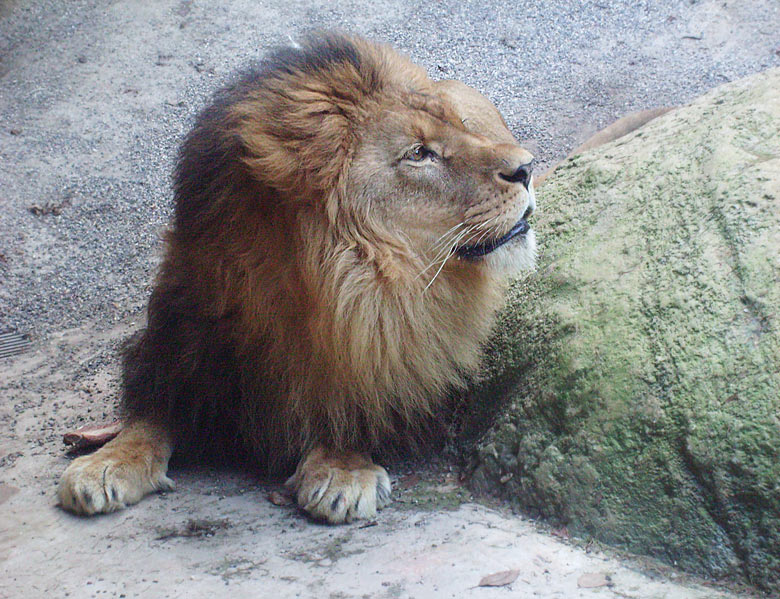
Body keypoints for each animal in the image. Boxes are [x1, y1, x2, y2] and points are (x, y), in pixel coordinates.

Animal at [58, 32, 660, 524]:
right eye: (419, 153)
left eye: (457, 131)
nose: (526, 166)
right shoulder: (179, 349)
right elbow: (149, 415)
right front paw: (105, 462)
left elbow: (355, 404)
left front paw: (342, 471)